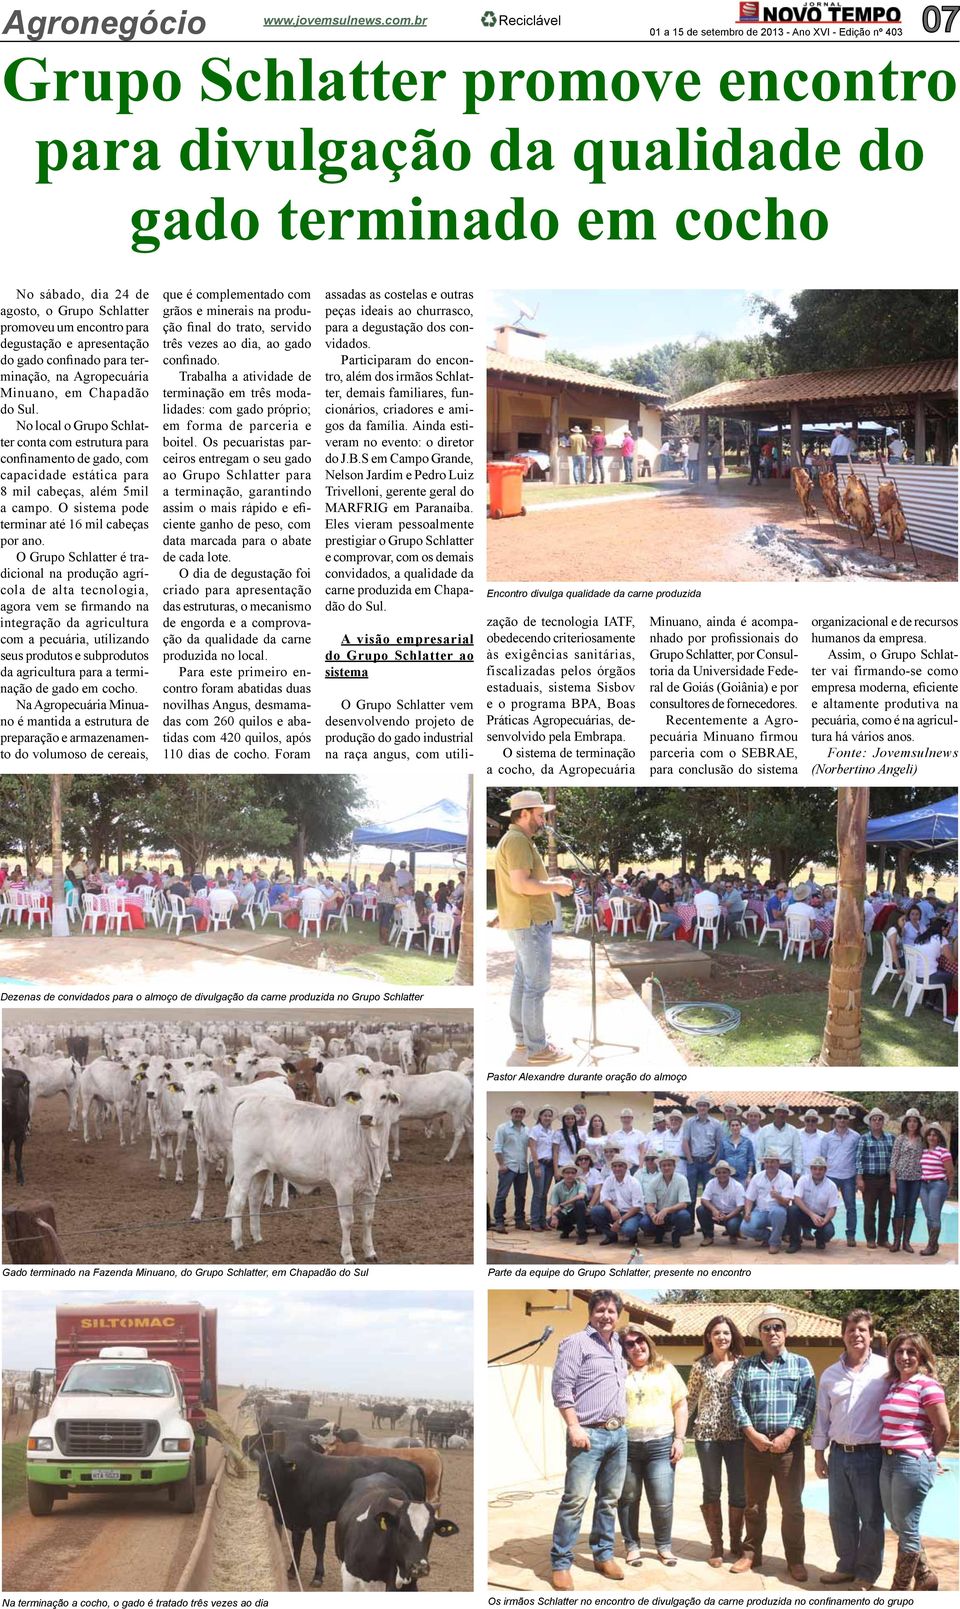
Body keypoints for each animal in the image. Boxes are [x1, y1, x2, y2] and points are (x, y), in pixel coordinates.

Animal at [226, 1081, 398, 1255]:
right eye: (360, 1096)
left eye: (384, 1096)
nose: (365, 1118)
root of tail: (250, 1099)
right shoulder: (343, 1186)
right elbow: (347, 1221)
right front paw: (348, 1255)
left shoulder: (371, 1187)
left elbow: (368, 1219)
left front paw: (370, 1252)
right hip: (244, 1168)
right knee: (237, 1199)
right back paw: (238, 1241)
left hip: (261, 1170)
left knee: (254, 1198)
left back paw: (257, 1237)